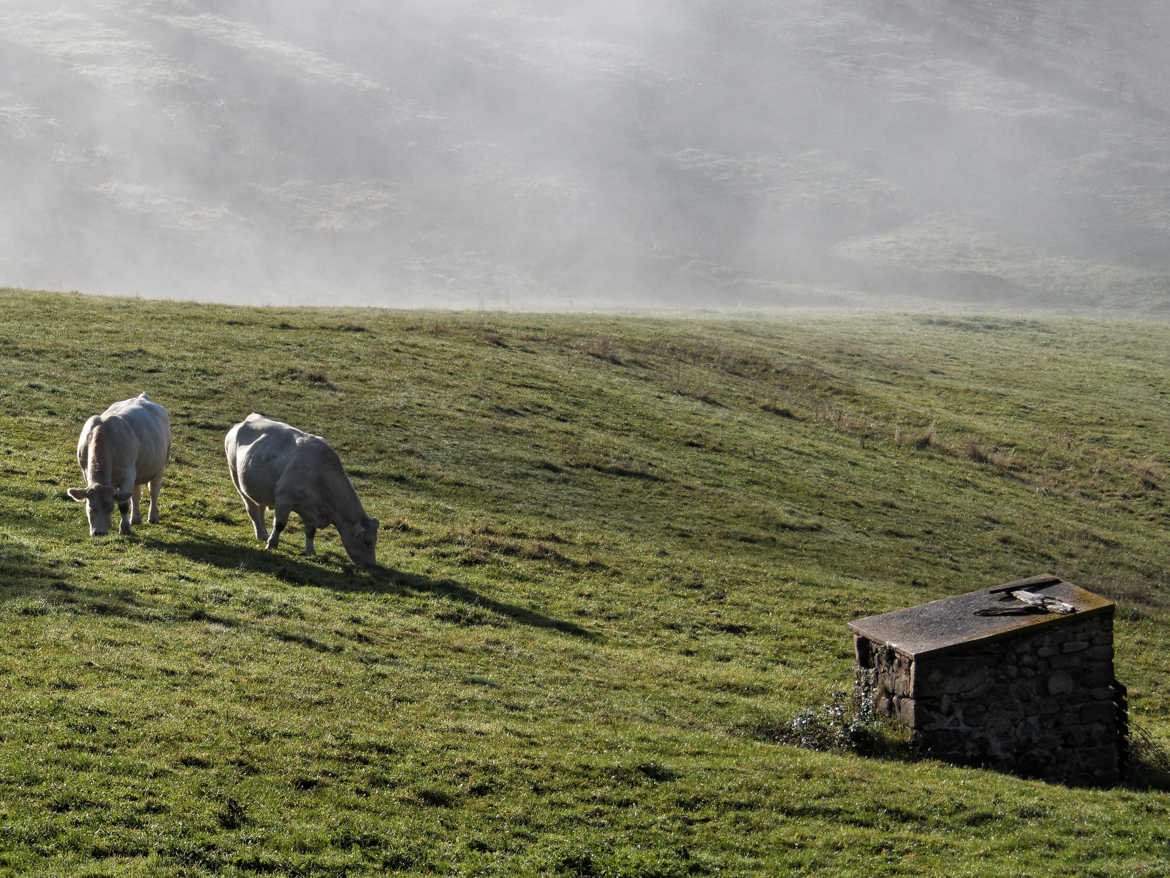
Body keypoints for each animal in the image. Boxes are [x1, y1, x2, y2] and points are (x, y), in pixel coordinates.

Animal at [67, 393, 170, 536]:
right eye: (90, 507)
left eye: (110, 508)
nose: (99, 532)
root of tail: (143, 397)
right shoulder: (85, 472)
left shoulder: (127, 474)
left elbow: (123, 504)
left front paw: (125, 528)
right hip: (138, 471)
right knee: (136, 494)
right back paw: (135, 518)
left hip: (160, 466)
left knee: (153, 492)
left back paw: (153, 517)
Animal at [223, 414, 379, 566]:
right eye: (367, 542)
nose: (372, 565)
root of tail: (246, 420)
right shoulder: (284, 500)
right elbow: (280, 525)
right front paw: (271, 544)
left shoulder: (310, 510)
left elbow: (310, 531)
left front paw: (310, 551)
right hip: (236, 477)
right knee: (252, 510)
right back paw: (262, 535)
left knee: (259, 509)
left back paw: (263, 534)